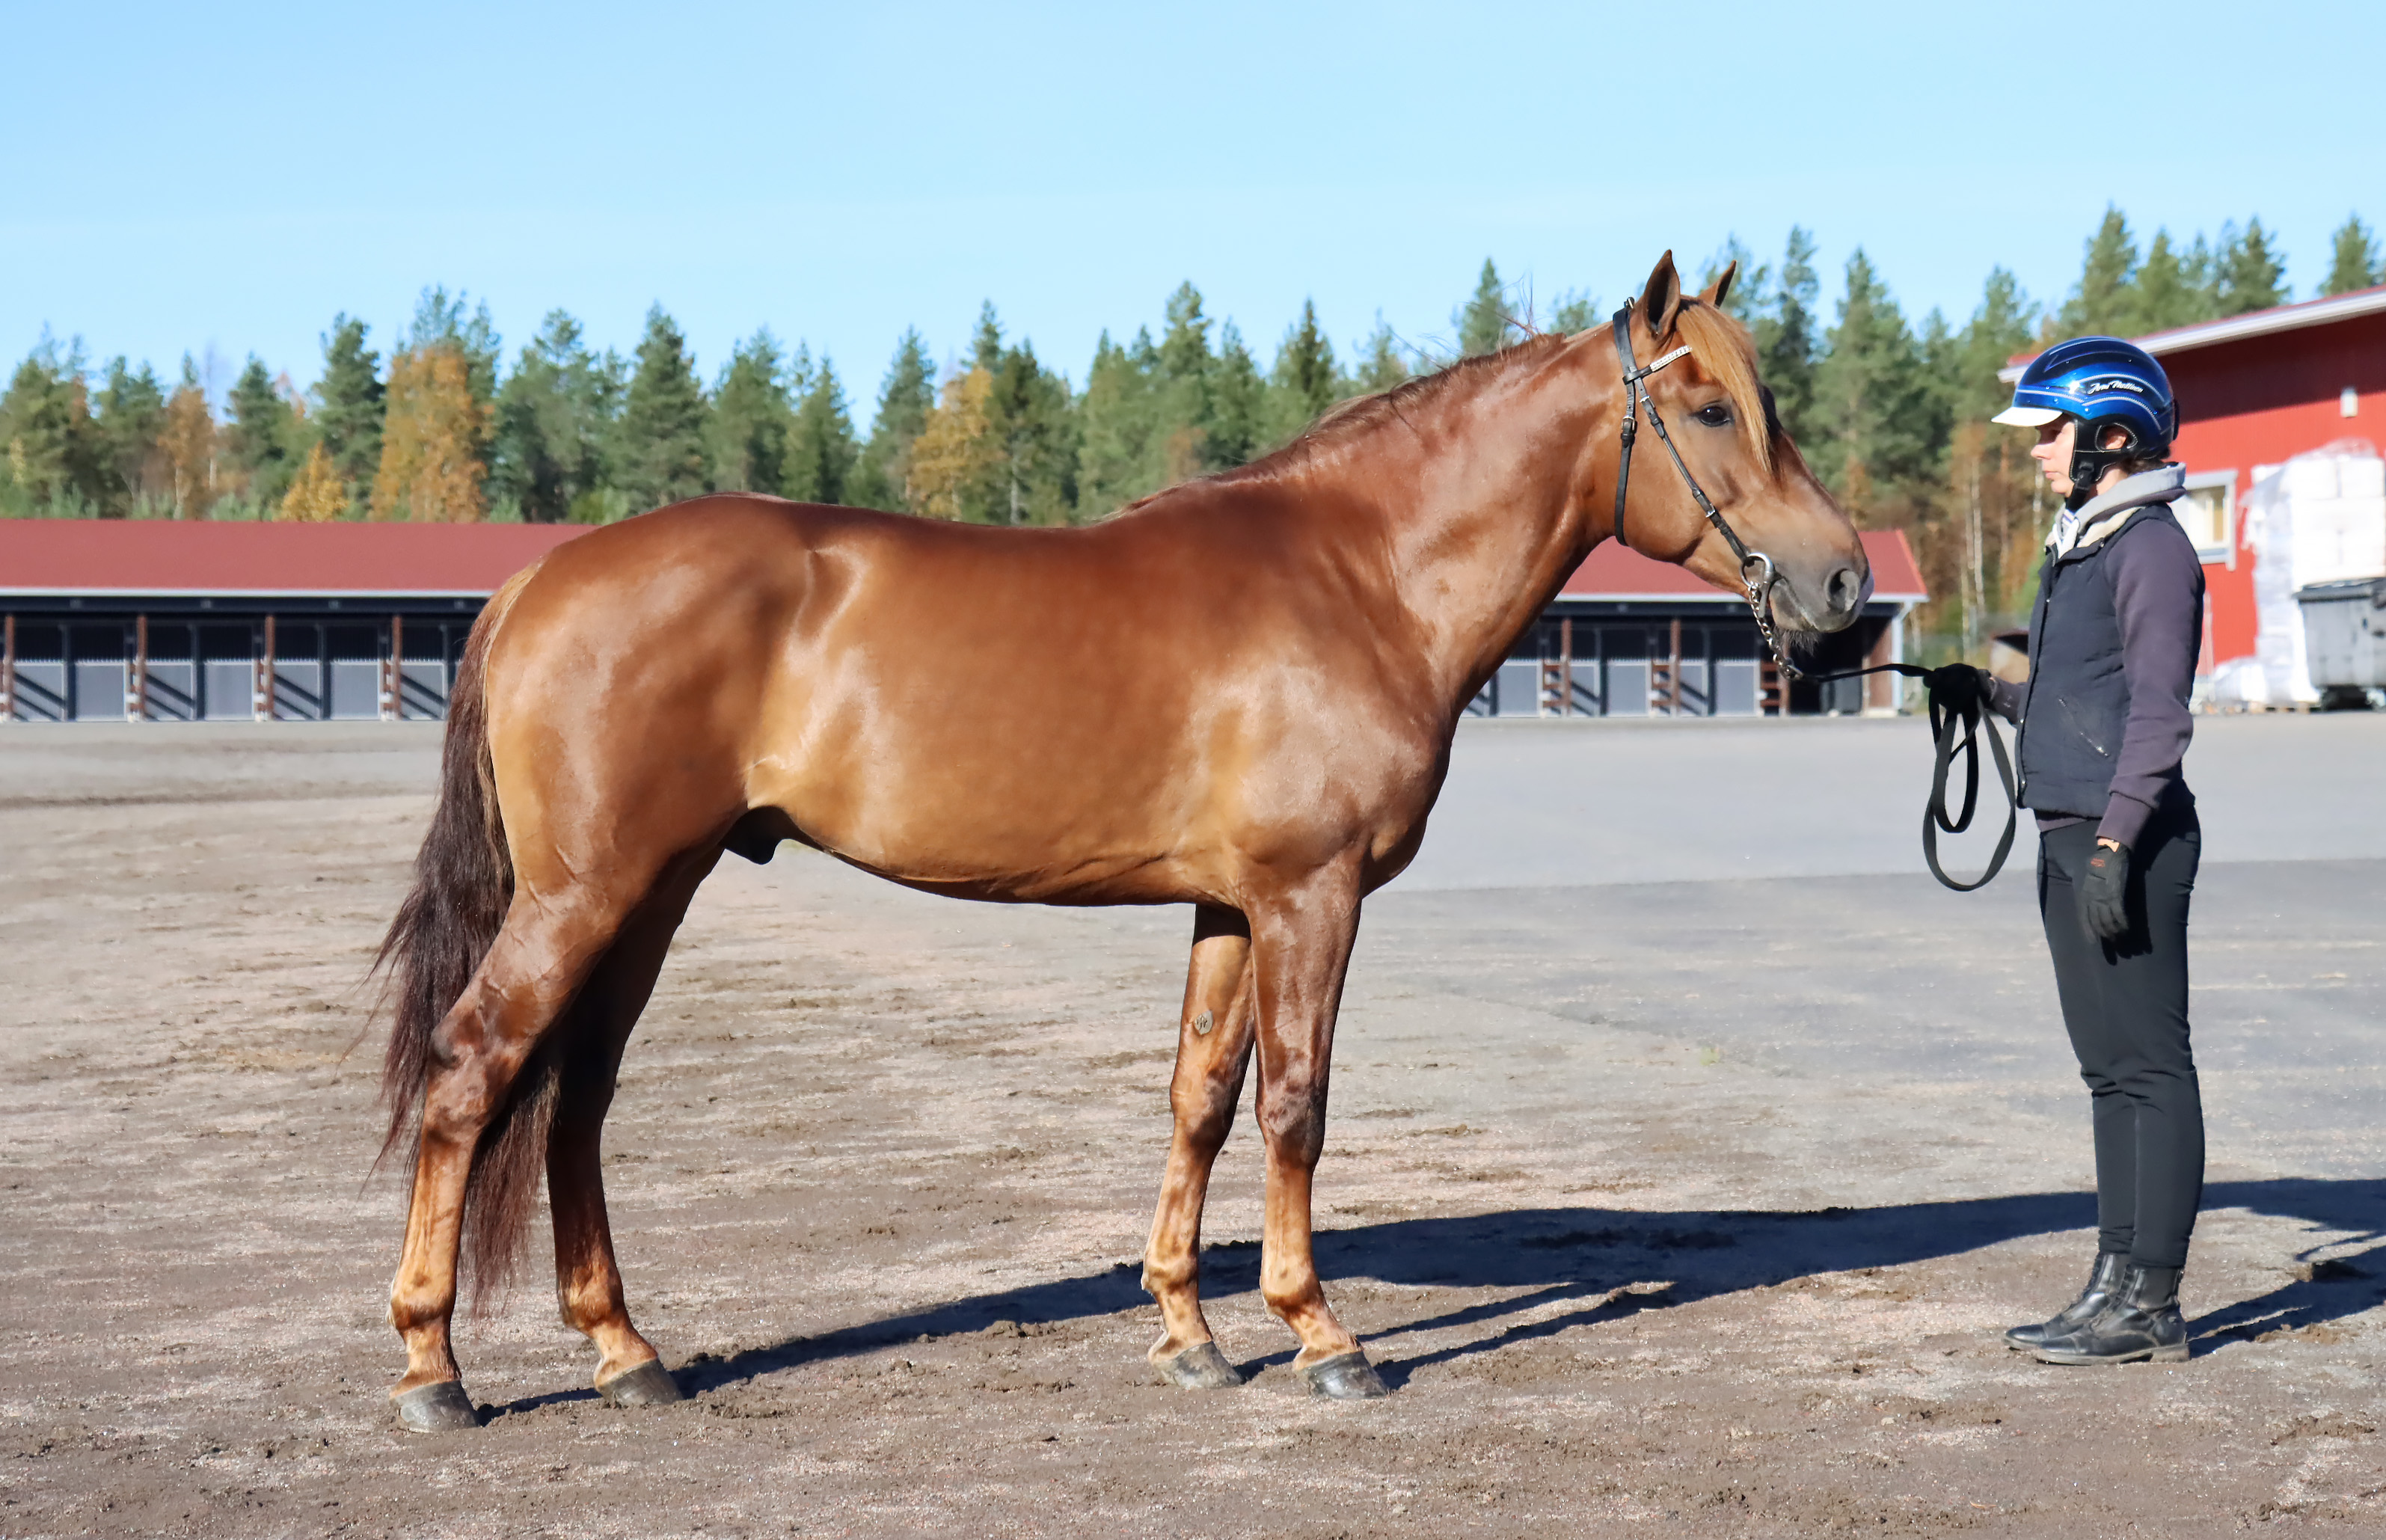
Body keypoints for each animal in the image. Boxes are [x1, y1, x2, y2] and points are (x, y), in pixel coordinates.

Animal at [374, 253, 1870, 1430]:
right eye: (1709, 407)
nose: (1842, 579)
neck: (1362, 576)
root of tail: (537, 578)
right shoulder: (1311, 894)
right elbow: (1295, 1101)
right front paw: (1321, 1332)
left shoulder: (1229, 905)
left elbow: (1199, 1096)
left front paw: (1189, 1331)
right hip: (588, 892)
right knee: (475, 1066)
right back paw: (433, 1368)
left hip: (653, 892)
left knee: (576, 1095)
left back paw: (628, 1352)